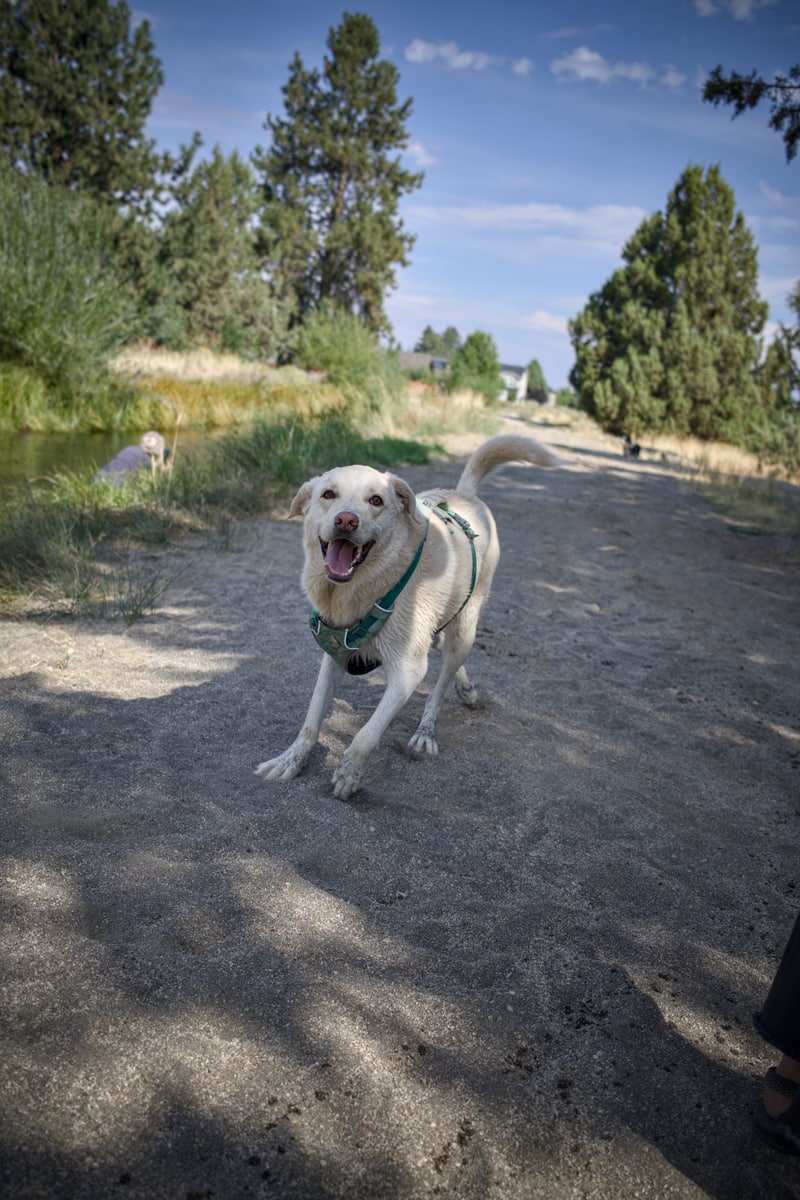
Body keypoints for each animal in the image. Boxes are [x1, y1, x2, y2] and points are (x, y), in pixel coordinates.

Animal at [255, 435, 561, 798]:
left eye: (376, 500)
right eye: (328, 494)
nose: (346, 520)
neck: (365, 589)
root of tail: (466, 495)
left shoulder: (408, 672)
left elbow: (366, 735)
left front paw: (350, 774)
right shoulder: (333, 657)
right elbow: (311, 722)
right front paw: (290, 759)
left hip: (466, 629)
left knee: (442, 679)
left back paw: (427, 729)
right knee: (442, 647)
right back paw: (466, 689)